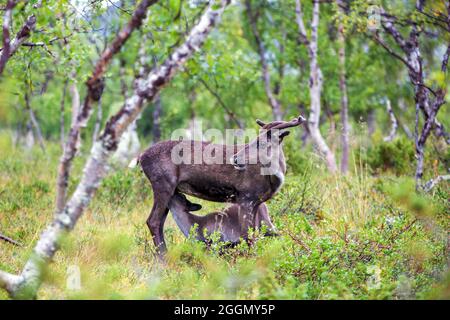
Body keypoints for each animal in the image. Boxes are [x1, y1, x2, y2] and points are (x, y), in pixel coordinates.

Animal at [139, 116, 304, 256]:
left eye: (261, 142)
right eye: (254, 139)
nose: (236, 158)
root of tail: (140, 157)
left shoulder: (256, 201)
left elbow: (253, 234)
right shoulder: (246, 196)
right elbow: (246, 235)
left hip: (170, 189)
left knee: (158, 221)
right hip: (163, 183)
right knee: (153, 221)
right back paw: (164, 259)